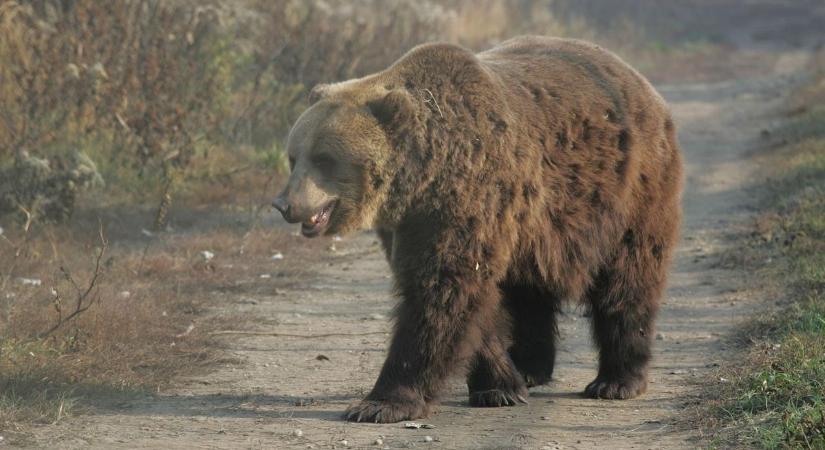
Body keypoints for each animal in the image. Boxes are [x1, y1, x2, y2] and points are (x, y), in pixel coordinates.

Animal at [272, 34, 684, 422]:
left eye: (324, 158)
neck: (422, 178)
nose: (284, 204)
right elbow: (466, 297)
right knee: (529, 288)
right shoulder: (412, 223)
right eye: (293, 156)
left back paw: (616, 380)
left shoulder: (467, 197)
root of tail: (642, 83)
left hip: (628, 191)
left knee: (627, 279)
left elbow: (441, 293)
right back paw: (530, 366)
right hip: (537, 227)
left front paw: (381, 403)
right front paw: (500, 386)